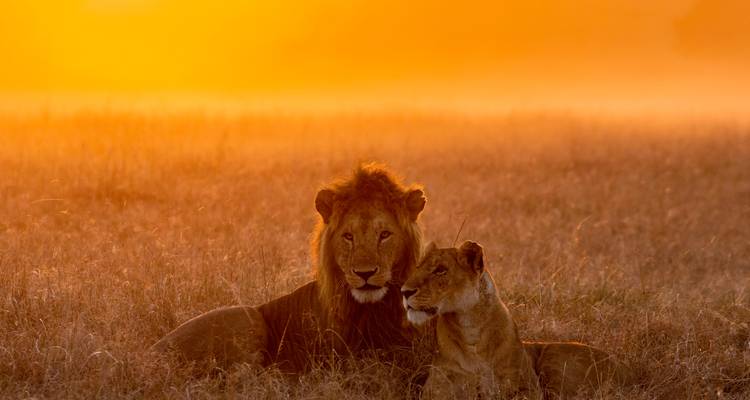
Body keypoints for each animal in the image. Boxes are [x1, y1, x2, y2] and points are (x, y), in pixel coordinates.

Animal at [150, 164, 428, 373]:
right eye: (348, 236)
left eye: (385, 234)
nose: (365, 274)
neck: (374, 309)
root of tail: (150, 354)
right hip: (247, 319)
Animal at [402, 241, 631, 399]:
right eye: (418, 267)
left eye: (440, 270)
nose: (404, 291)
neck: (469, 326)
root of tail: (625, 368)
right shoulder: (436, 389)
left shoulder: (527, 388)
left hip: (554, 359)